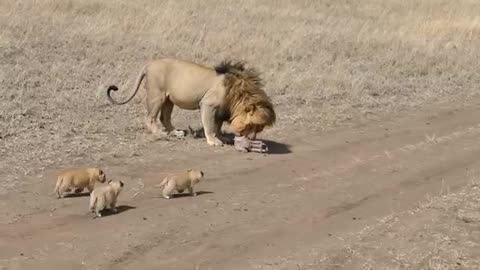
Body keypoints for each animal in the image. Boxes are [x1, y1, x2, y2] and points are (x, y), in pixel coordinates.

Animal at [106, 58, 276, 147]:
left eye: (259, 128)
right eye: (252, 126)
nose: (252, 140)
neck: (237, 93)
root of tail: (149, 64)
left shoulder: (221, 109)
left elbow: (217, 126)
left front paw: (222, 137)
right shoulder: (207, 104)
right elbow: (209, 126)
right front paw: (213, 141)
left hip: (169, 99)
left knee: (164, 118)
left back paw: (176, 133)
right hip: (157, 95)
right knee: (150, 118)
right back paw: (159, 133)